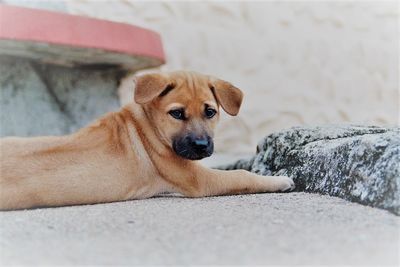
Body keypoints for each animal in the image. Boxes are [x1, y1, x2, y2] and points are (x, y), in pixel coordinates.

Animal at [0, 72, 294, 210]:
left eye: (210, 112)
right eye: (177, 113)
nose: (201, 146)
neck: (148, 127)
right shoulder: (199, 180)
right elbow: (242, 175)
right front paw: (280, 180)